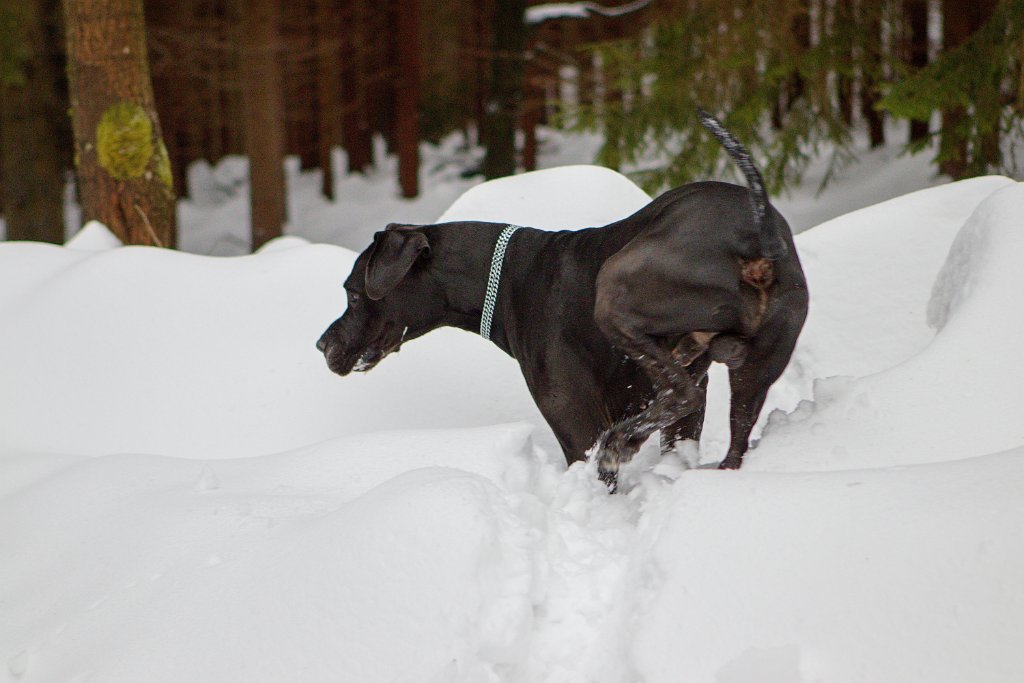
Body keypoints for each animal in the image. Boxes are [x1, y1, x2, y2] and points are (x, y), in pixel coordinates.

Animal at [315, 112, 811, 485]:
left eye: (353, 294)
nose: (322, 344)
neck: (509, 276)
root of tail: (757, 240)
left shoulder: (576, 427)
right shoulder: (685, 422)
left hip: (616, 288)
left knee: (679, 390)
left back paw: (624, 439)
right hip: (757, 369)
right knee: (728, 434)